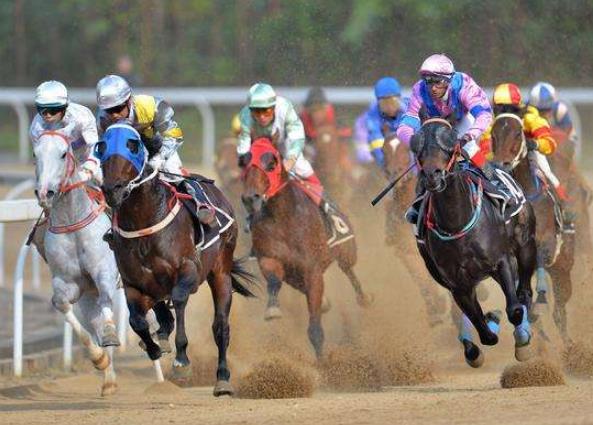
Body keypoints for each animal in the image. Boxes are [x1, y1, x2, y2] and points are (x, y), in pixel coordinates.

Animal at [33, 128, 120, 394]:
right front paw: (98, 358)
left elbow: (107, 298)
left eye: (63, 154)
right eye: (35, 154)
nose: (45, 193)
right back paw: (109, 381)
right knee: (94, 320)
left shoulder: (105, 272)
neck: (73, 223)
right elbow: (61, 303)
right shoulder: (69, 282)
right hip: (87, 297)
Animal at [96, 122, 256, 394]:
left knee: (221, 326)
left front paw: (182, 360)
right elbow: (137, 321)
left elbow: (180, 300)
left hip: (220, 271)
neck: (144, 224)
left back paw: (223, 378)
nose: (112, 189)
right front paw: (154, 348)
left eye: (132, 145)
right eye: (102, 146)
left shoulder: (187, 271)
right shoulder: (134, 284)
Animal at [240, 136, 370, 358]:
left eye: (272, 163)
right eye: (244, 162)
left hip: (346, 250)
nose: (250, 198)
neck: (283, 218)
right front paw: (272, 310)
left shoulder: (312, 270)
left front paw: (323, 361)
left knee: (349, 270)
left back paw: (363, 298)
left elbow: (315, 328)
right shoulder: (269, 257)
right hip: (294, 275)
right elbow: (273, 281)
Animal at [412, 117, 536, 362]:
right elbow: (483, 329)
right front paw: (481, 334)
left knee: (524, 293)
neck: (457, 223)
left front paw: (521, 341)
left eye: (449, 144)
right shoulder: (458, 285)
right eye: (417, 147)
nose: (432, 175)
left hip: (526, 245)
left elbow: (514, 310)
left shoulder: (502, 261)